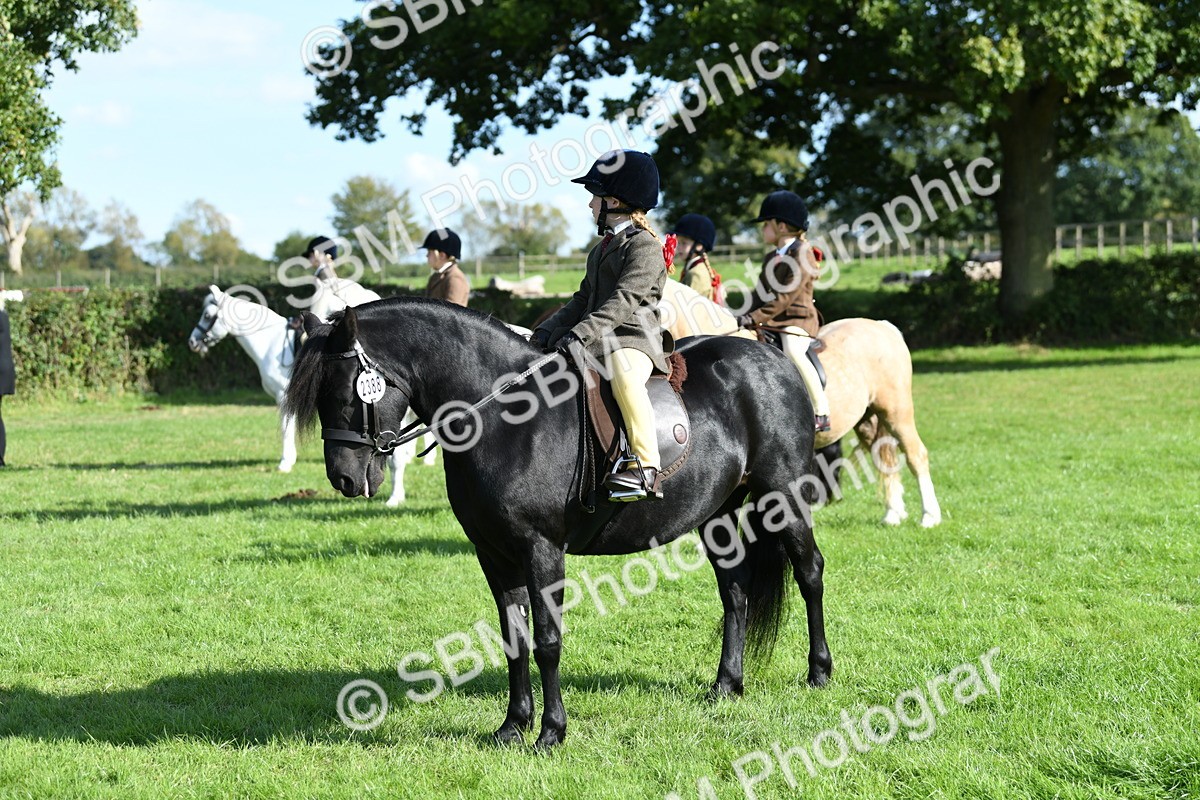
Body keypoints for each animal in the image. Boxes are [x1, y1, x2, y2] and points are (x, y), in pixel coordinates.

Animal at [186, 286, 414, 505]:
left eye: (207, 315)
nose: (192, 342)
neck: (270, 344)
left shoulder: (282, 398)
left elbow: (286, 430)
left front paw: (285, 462)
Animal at [285, 297, 833, 749]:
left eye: (346, 392)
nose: (344, 479)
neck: (504, 416)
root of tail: (773, 361)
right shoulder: (493, 552)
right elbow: (513, 638)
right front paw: (512, 726)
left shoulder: (541, 548)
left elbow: (547, 641)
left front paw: (551, 732)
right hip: (719, 514)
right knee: (736, 589)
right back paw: (726, 685)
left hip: (783, 495)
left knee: (809, 572)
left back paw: (819, 673)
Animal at [660, 280, 942, 528]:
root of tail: (882, 327)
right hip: (868, 419)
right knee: (884, 457)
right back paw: (893, 514)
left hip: (896, 411)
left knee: (916, 455)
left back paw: (929, 516)